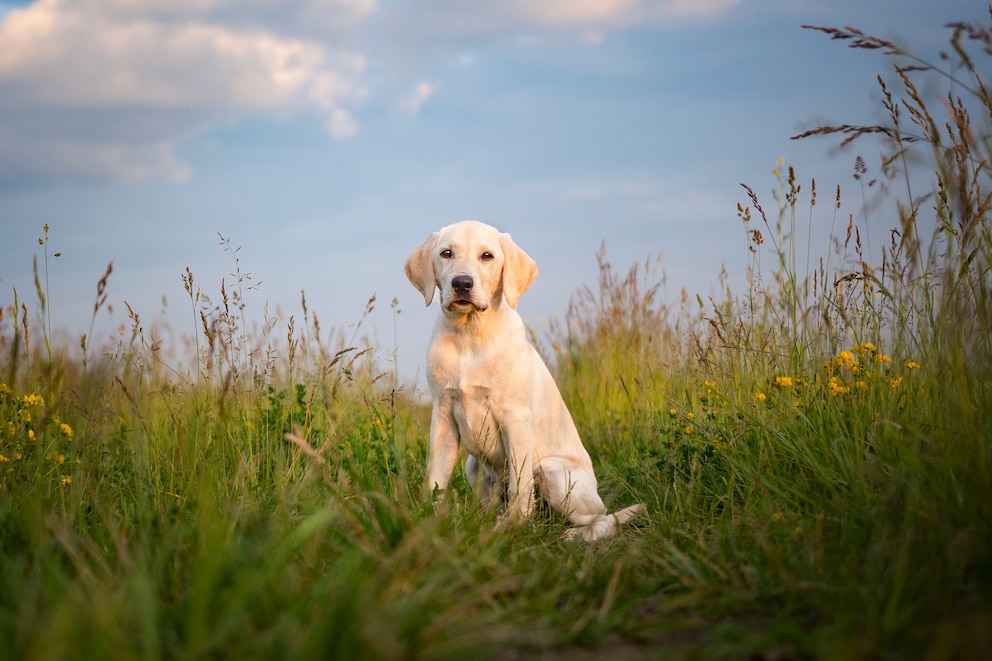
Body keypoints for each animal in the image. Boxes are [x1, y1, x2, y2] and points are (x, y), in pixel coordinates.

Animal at [406, 219, 648, 540]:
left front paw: (515, 528)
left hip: (552, 472)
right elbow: (435, 478)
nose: (462, 284)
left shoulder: (515, 418)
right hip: (474, 465)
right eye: (446, 253)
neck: (470, 334)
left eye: (487, 256)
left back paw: (572, 535)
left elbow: (520, 486)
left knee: (601, 519)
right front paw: (428, 522)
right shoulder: (444, 415)